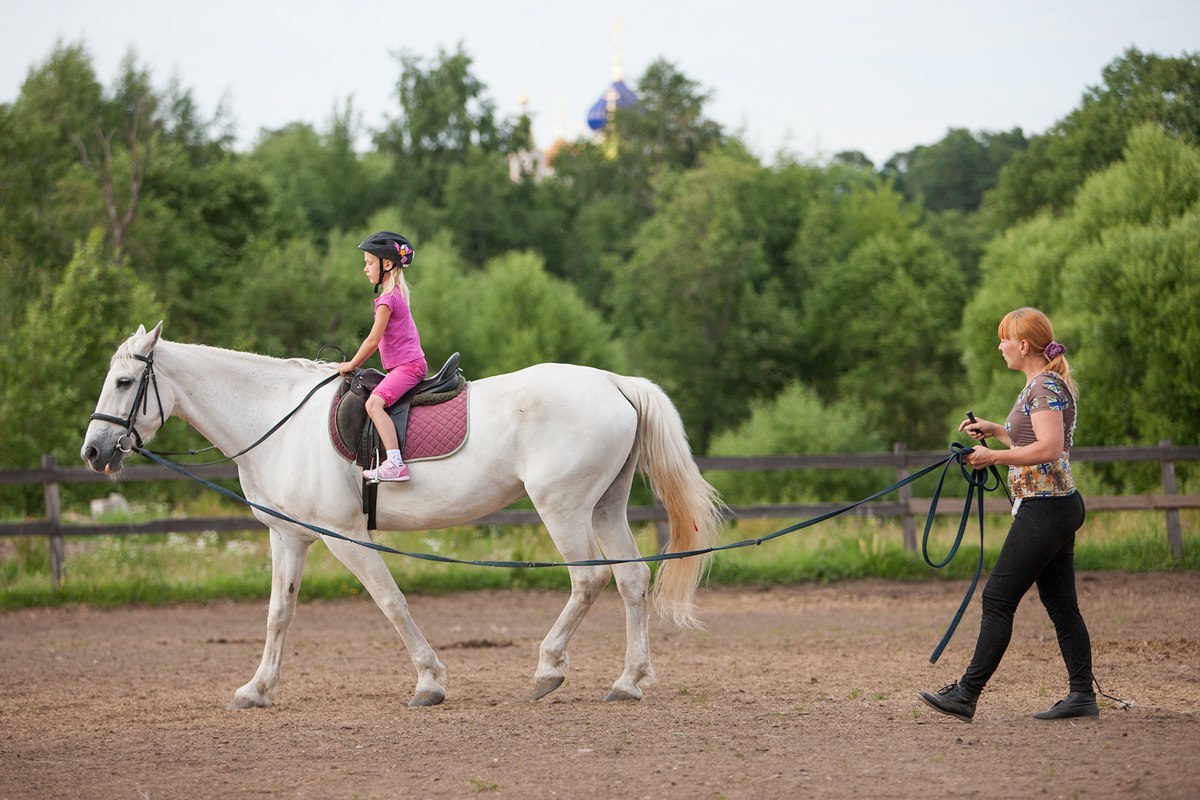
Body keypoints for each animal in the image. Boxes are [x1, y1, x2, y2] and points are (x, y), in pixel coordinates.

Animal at [84, 321, 724, 710]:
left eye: (124, 381)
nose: (93, 451)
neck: (275, 420)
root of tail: (616, 383)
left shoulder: (344, 538)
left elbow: (391, 603)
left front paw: (429, 682)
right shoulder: (289, 538)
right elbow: (278, 615)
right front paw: (257, 689)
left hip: (563, 508)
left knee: (587, 581)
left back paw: (548, 670)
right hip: (606, 506)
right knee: (632, 580)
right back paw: (628, 682)